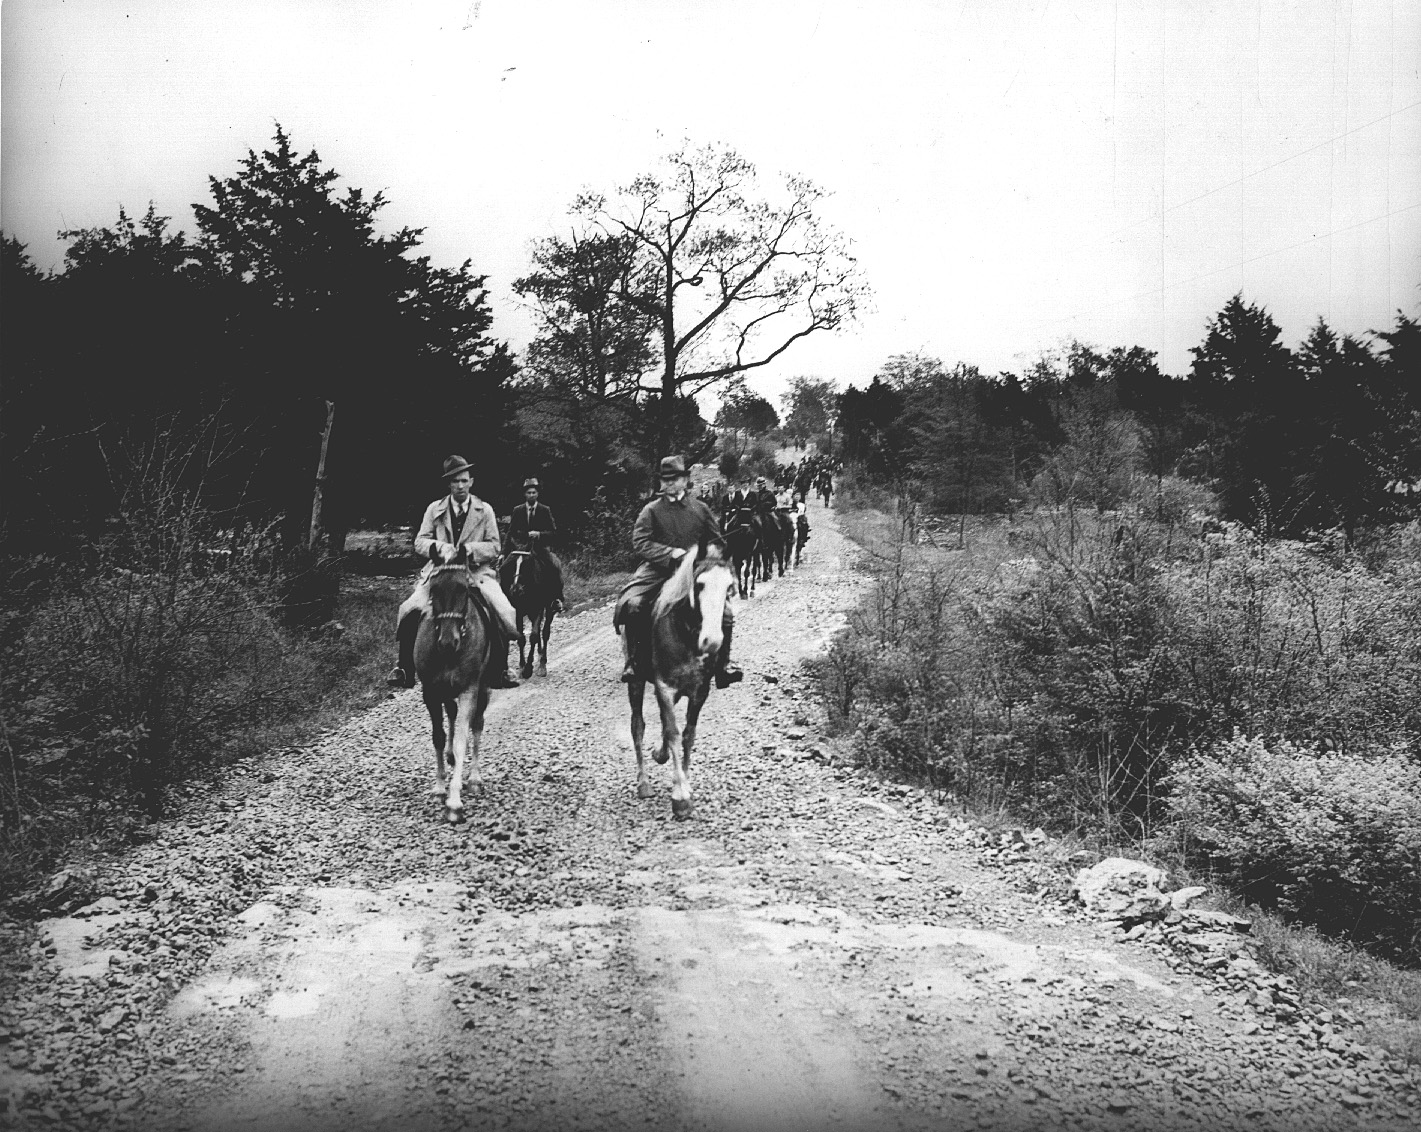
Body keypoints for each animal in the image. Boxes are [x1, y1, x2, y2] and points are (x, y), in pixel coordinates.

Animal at [414, 548, 497, 823]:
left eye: (463, 589)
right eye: (434, 588)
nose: (448, 642)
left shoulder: (469, 690)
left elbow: (463, 739)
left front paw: (454, 802)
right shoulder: (430, 691)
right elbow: (439, 737)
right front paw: (440, 788)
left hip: (482, 690)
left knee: (477, 725)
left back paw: (474, 779)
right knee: (451, 714)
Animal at [628, 539, 738, 818]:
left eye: (729, 587)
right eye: (699, 585)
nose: (712, 642)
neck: (686, 635)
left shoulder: (699, 691)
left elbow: (688, 735)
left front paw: (685, 784)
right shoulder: (665, 687)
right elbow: (674, 733)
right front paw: (680, 796)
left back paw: (659, 753)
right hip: (636, 682)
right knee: (638, 726)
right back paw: (643, 783)